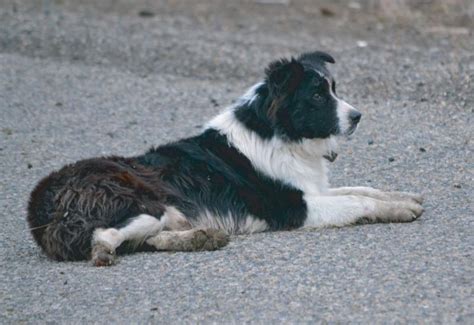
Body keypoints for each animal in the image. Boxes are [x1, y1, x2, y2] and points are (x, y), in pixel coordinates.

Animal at [27, 51, 424, 266]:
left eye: (334, 90)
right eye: (316, 95)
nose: (358, 116)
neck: (278, 132)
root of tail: (41, 203)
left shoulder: (310, 189)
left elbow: (363, 189)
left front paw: (402, 198)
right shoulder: (292, 205)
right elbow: (357, 200)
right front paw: (397, 209)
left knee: (149, 240)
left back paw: (204, 237)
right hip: (145, 202)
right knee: (105, 236)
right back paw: (109, 252)